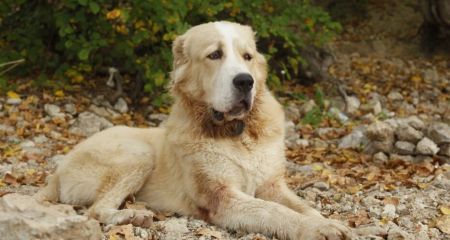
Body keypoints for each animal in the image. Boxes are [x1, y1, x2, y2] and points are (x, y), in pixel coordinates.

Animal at [34, 21, 352, 240]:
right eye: (215, 55)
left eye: (247, 56)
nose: (245, 81)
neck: (238, 133)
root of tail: (57, 172)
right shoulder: (222, 198)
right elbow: (275, 211)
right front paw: (315, 229)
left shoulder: (272, 186)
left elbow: (301, 206)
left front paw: (328, 222)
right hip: (138, 154)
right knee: (96, 210)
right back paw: (133, 216)